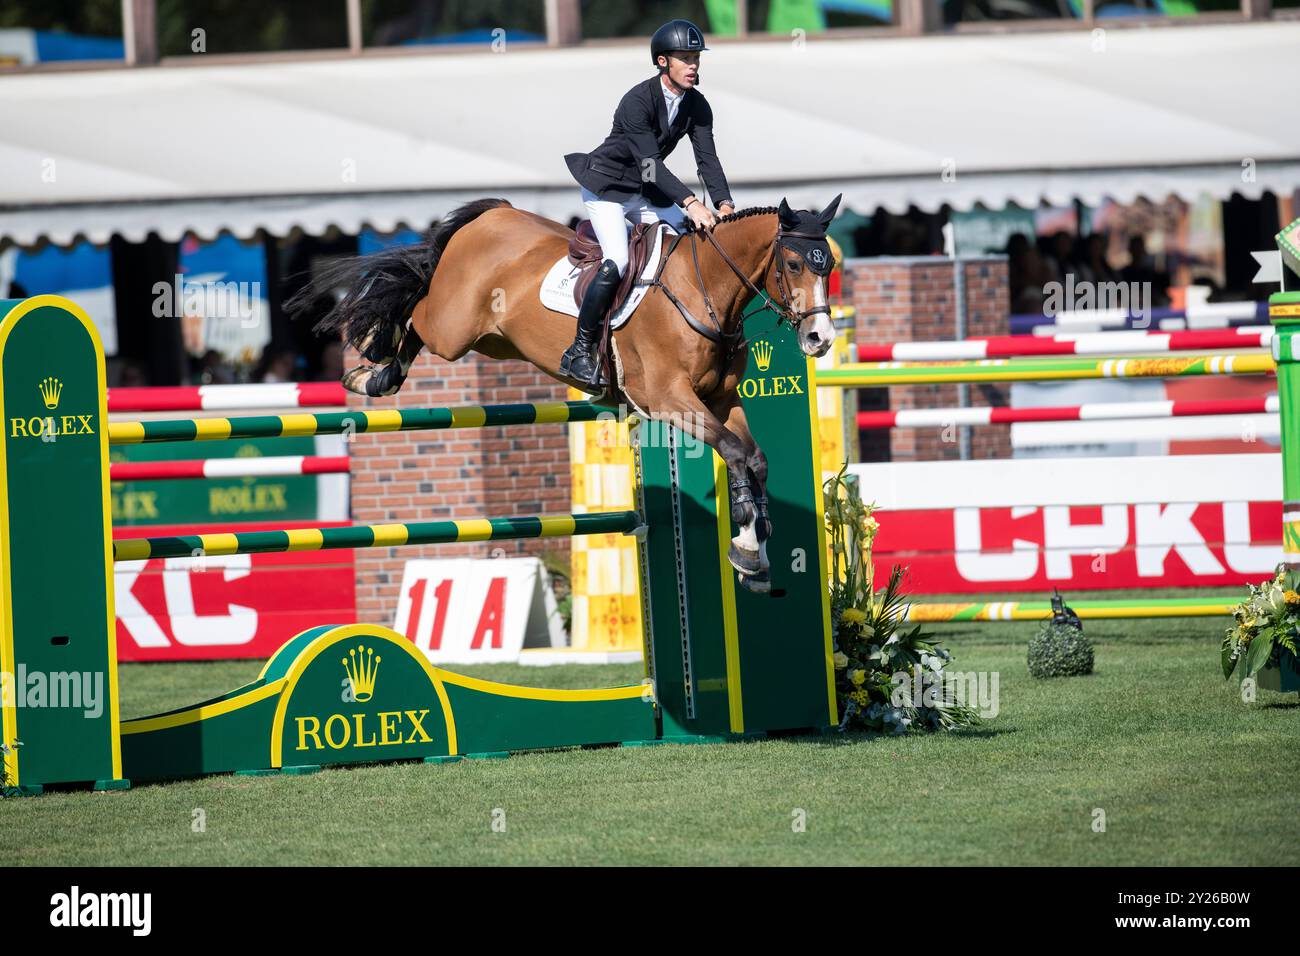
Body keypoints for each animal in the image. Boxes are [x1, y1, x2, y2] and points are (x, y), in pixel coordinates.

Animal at [289, 197, 842, 587]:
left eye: (828, 267)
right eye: (795, 265)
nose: (820, 340)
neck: (703, 289)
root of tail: (493, 215)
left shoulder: (721, 402)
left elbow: (754, 457)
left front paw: (756, 552)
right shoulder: (669, 401)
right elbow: (734, 453)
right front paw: (746, 548)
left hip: (494, 342)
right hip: (452, 329)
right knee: (413, 302)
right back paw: (369, 372)